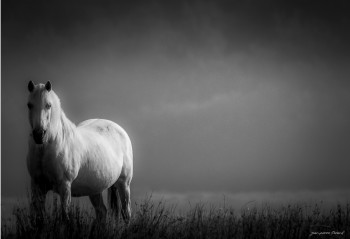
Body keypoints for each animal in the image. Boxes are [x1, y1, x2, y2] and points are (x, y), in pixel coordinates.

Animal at [26, 81, 133, 225]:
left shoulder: (64, 186)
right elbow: (38, 219)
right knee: (102, 212)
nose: (39, 135)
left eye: (48, 105)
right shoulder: (37, 186)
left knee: (126, 213)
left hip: (124, 184)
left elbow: (65, 217)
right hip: (95, 190)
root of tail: (120, 129)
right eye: (29, 105)